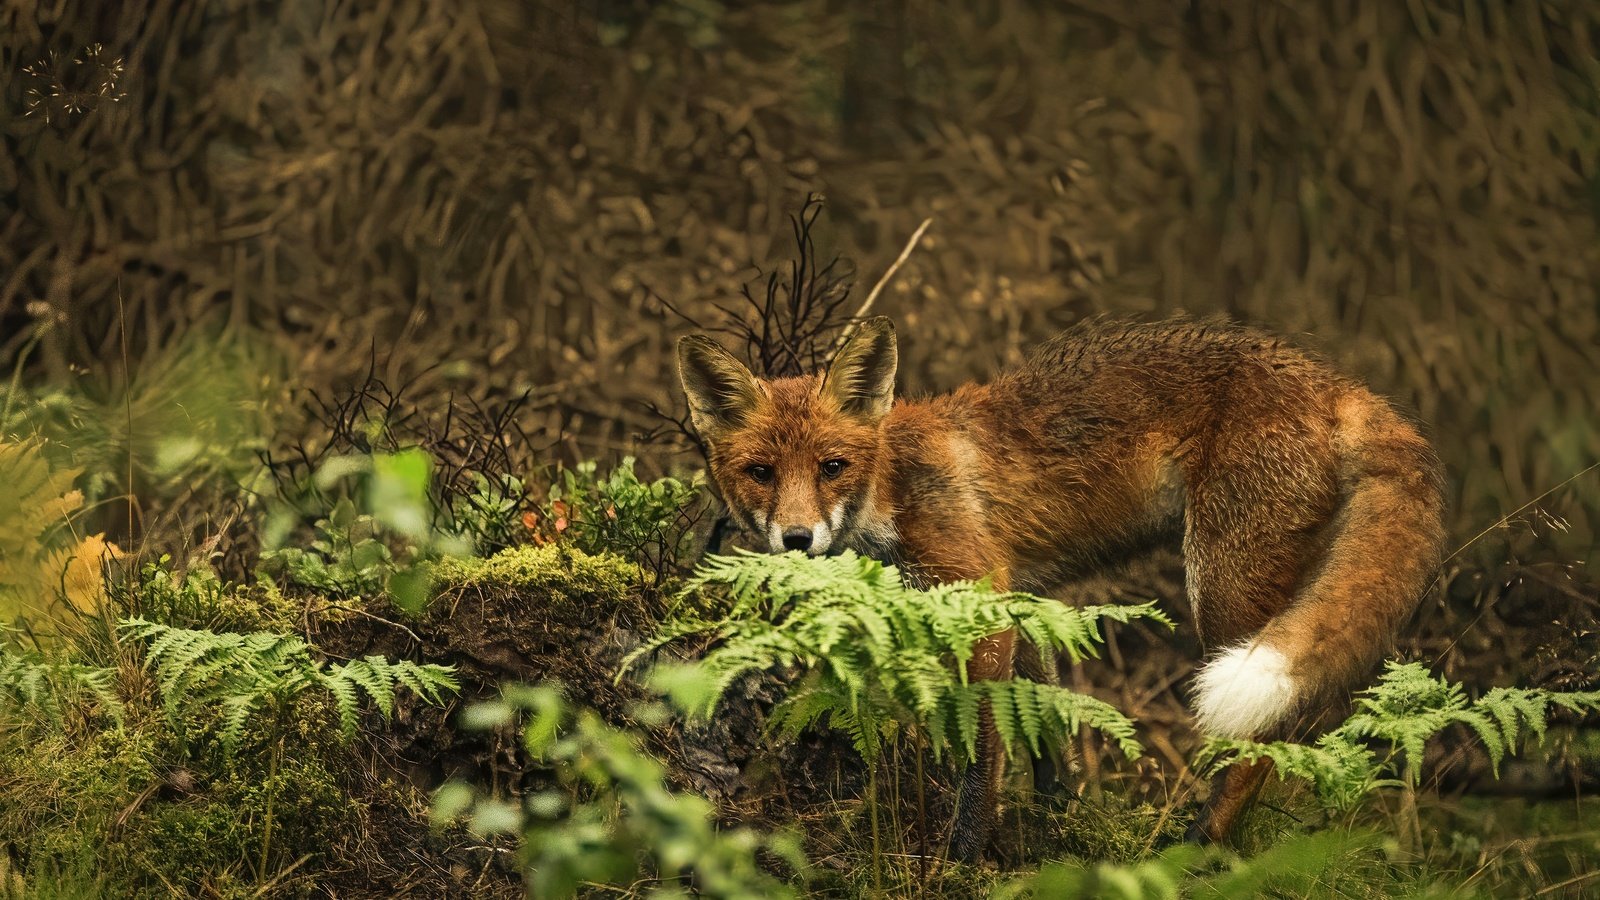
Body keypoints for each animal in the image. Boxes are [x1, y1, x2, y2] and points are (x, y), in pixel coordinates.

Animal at [675, 313, 1452, 851]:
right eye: (761, 473)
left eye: (832, 467)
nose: (796, 539)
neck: (892, 487)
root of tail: (1338, 384)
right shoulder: (1024, 600)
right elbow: (1046, 723)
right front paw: (1058, 819)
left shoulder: (982, 599)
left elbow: (982, 751)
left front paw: (963, 857)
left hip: (1223, 586)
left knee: (1270, 739)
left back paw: (1199, 847)